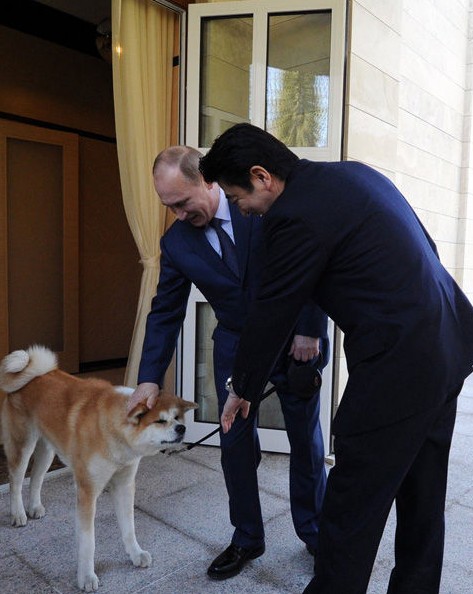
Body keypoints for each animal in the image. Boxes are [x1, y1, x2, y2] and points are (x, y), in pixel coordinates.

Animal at [0, 344, 197, 588]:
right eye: (160, 421)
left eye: (178, 417)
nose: (181, 429)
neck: (112, 431)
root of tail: (33, 372)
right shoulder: (87, 490)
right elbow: (88, 542)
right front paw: (86, 576)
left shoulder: (124, 485)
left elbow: (129, 528)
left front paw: (135, 554)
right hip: (23, 445)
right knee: (16, 481)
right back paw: (18, 513)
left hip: (47, 449)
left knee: (36, 478)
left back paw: (35, 507)